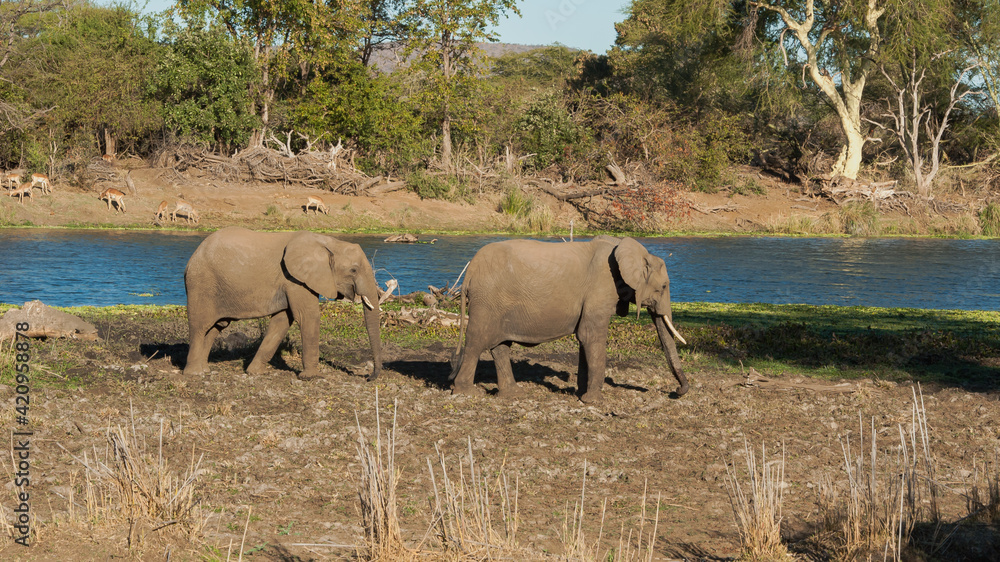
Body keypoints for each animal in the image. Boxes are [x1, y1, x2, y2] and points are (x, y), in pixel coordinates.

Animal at [183, 227, 382, 381]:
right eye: (353, 270)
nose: (369, 378)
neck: (330, 242)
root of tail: (192, 257)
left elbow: (283, 321)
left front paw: (255, 372)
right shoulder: (295, 279)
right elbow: (308, 317)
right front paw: (311, 377)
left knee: (216, 327)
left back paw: (205, 370)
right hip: (201, 284)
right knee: (200, 326)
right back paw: (194, 373)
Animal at [449, 236, 688, 403]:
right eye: (663, 287)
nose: (676, 391)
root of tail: (470, 269)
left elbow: (584, 339)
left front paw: (581, 395)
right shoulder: (600, 289)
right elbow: (591, 336)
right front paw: (594, 401)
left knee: (500, 346)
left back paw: (513, 394)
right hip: (486, 300)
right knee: (477, 341)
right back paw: (467, 393)